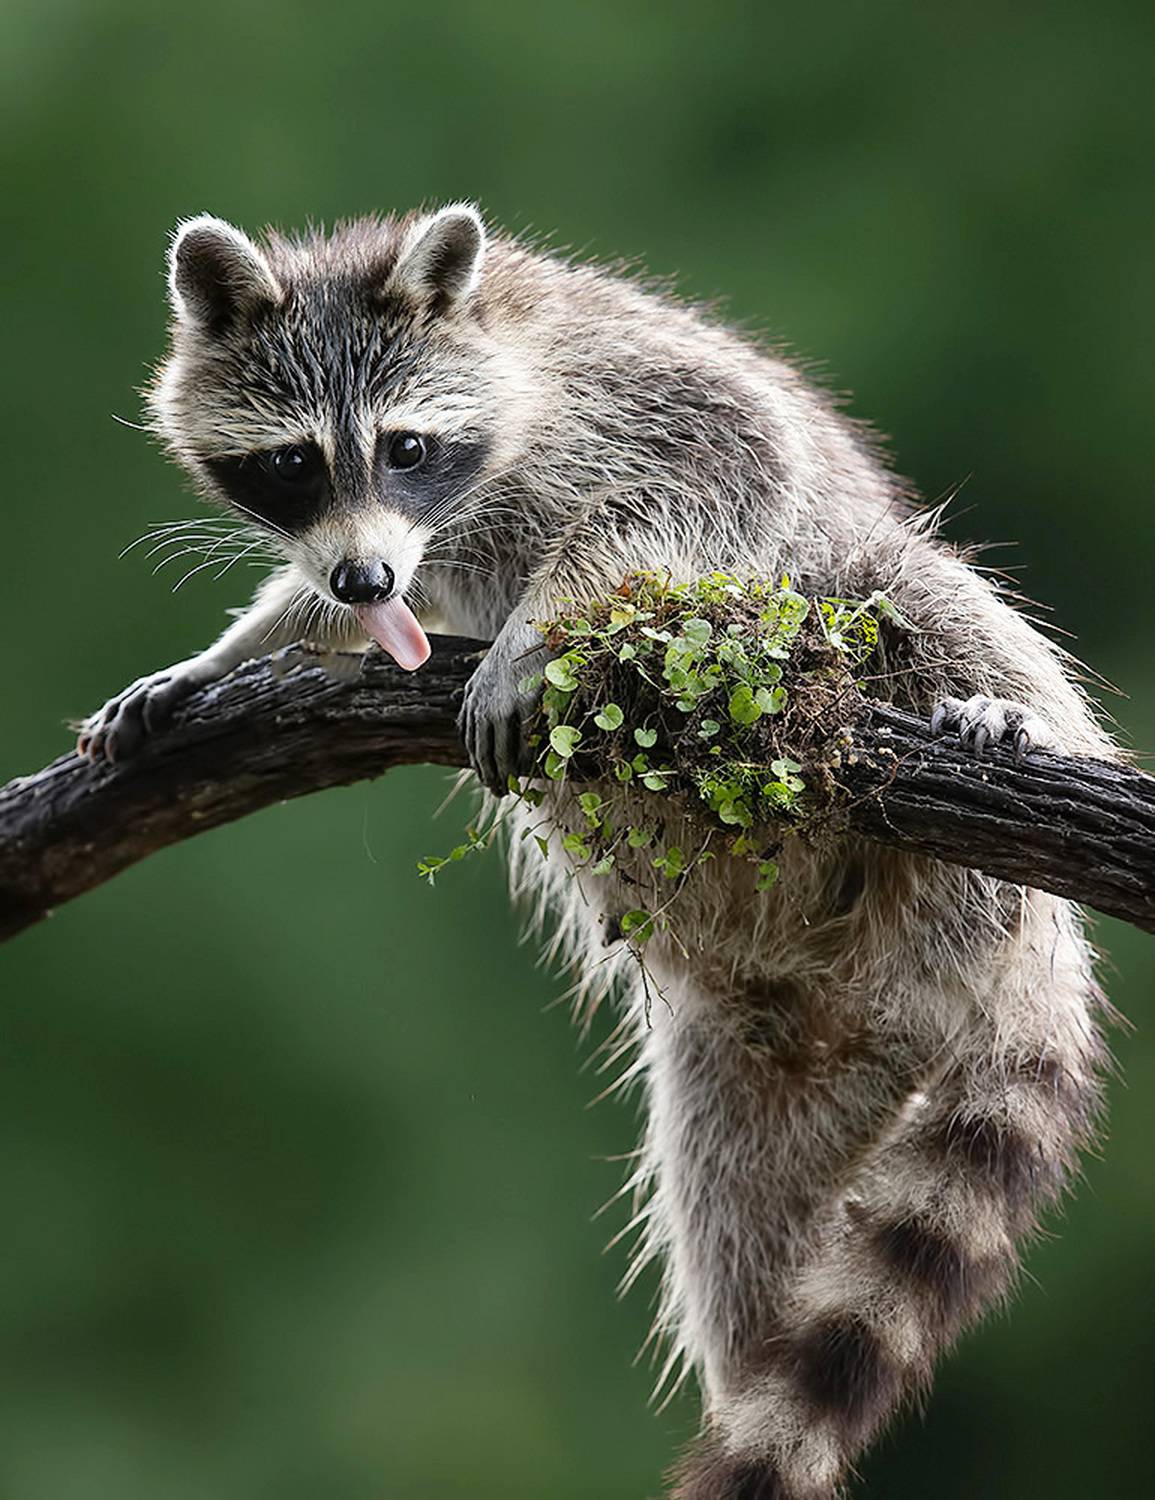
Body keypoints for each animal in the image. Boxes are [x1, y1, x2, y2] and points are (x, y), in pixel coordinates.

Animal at [81, 205, 1116, 1498]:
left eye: (406, 448)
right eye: (292, 464)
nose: (367, 575)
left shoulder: (625, 395)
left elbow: (710, 470)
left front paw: (534, 629)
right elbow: (325, 605)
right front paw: (237, 646)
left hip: (897, 721)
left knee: (907, 578)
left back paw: (1008, 710)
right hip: (770, 1086)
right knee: (746, 1255)